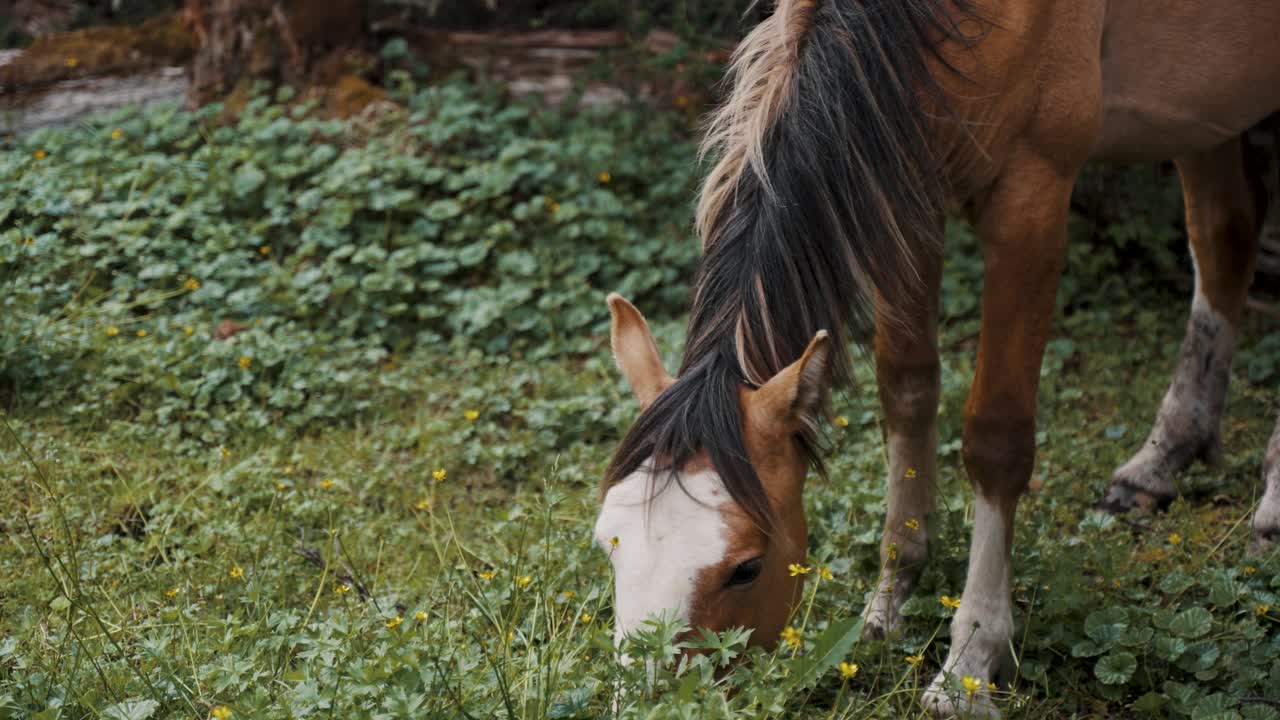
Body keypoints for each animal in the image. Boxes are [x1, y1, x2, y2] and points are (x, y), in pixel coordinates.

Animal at [593, 0, 1280, 715]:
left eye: (746, 568)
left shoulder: (1030, 199)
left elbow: (996, 438)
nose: (647, 704)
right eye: (609, 547)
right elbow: (907, 389)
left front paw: (970, 660)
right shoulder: (900, 183)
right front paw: (889, 604)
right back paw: (1162, 457)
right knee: (1225, 233)